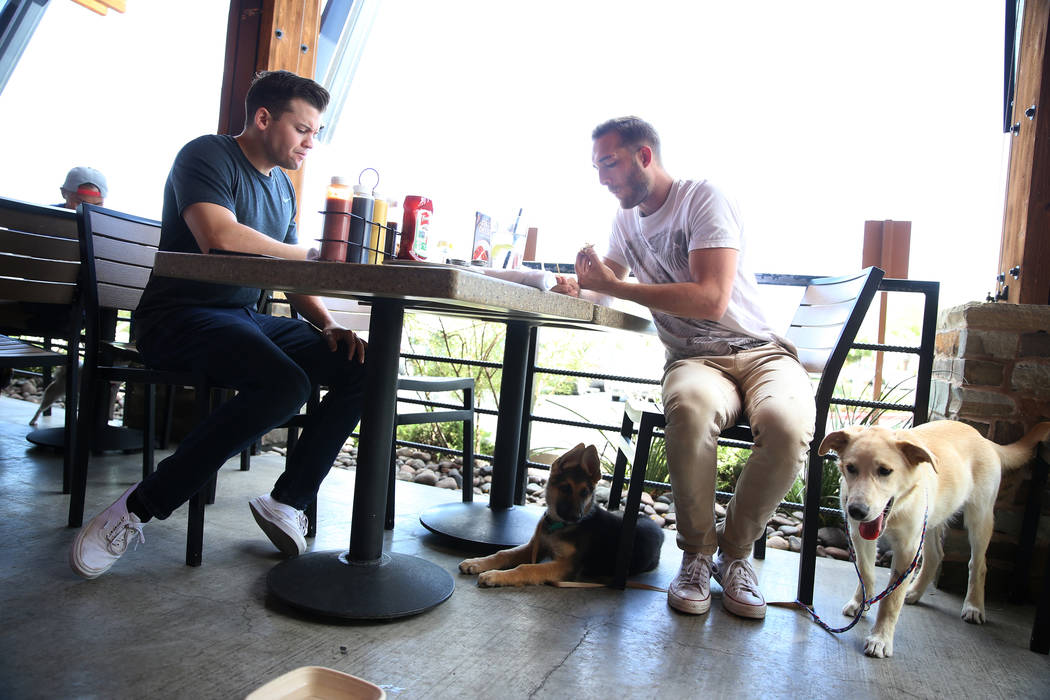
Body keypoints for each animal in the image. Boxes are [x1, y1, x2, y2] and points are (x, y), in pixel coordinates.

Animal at [459, 442, 663, 587]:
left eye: (585, 492)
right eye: (565, 488)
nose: (576, 517)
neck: (557, 526)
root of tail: (657, 527)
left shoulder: (566, 566)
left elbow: (525, 568)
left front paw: (494, 576)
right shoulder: (536, 546)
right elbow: (503, 554)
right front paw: (477, 563)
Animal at [818, 421, 1050, 659]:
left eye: (885, 471)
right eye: (850, 468)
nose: (856, 511)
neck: (898, 508)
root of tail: (984, 439)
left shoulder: (907, 548)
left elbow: (891, 600)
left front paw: (881, 638)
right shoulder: (859, 535)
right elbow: (866, 573)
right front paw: (861, 602)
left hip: (980, 517)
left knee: (978, 564)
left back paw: (974, 606)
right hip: (931, 521)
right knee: (935, 556)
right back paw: (915, 591)